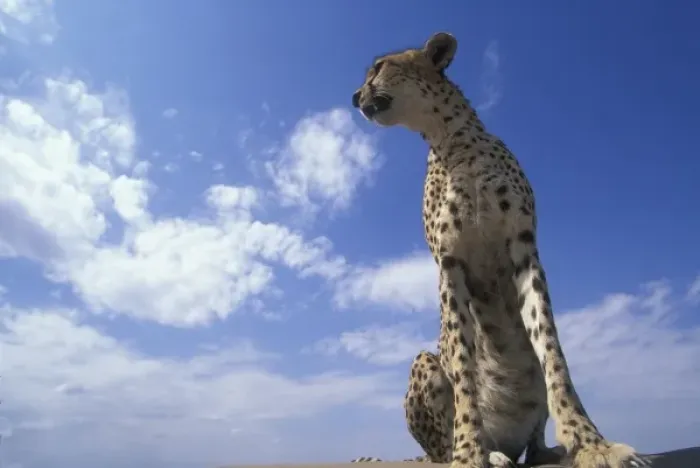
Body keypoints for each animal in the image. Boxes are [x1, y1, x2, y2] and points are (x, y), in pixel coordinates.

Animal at [349, 32, 651, 468]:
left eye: (379, 67)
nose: (356, 96)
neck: (452, 141)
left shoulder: (523, 248)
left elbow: (553, 353)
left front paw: (591, 444)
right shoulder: (449, 263)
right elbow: (462, 367)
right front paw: (469, 453)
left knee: (533, 442)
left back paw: (546, 451)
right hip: (424, 362)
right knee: (440, 445)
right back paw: (486, 453)